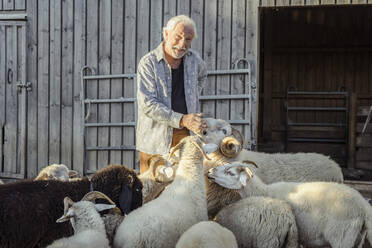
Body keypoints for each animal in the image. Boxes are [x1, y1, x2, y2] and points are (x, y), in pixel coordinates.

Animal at [208, 162, 372, 247]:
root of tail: (363, 206)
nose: (209, 171)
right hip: (357, 237)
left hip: (342, 237)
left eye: (230, 172)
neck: (263, 191)